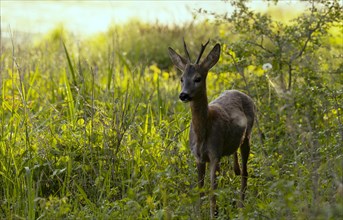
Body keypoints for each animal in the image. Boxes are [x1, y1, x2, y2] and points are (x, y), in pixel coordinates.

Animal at [169, 40, 255, 218]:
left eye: (198, 78)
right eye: (181, 78)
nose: (183, 95)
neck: (203, 132)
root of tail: (240, 92)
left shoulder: (215, 154)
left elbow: (212, 190)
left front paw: (214, 214)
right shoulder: (199, 157)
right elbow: (200, 190)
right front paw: (199, 214)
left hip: (247, 137)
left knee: (245, 172)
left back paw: (241, 207)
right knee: (237, 168)